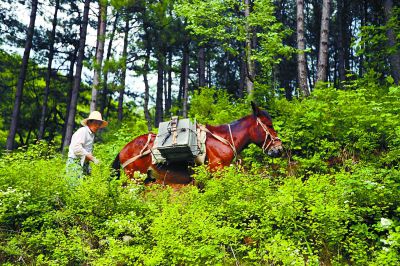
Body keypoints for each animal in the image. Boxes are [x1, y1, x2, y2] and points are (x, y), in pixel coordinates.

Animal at [111, 102, 282, 187]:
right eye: (269, 125)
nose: (279, 149)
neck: (224, 139)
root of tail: (123, 149)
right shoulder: (218, 172)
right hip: (134, 178)